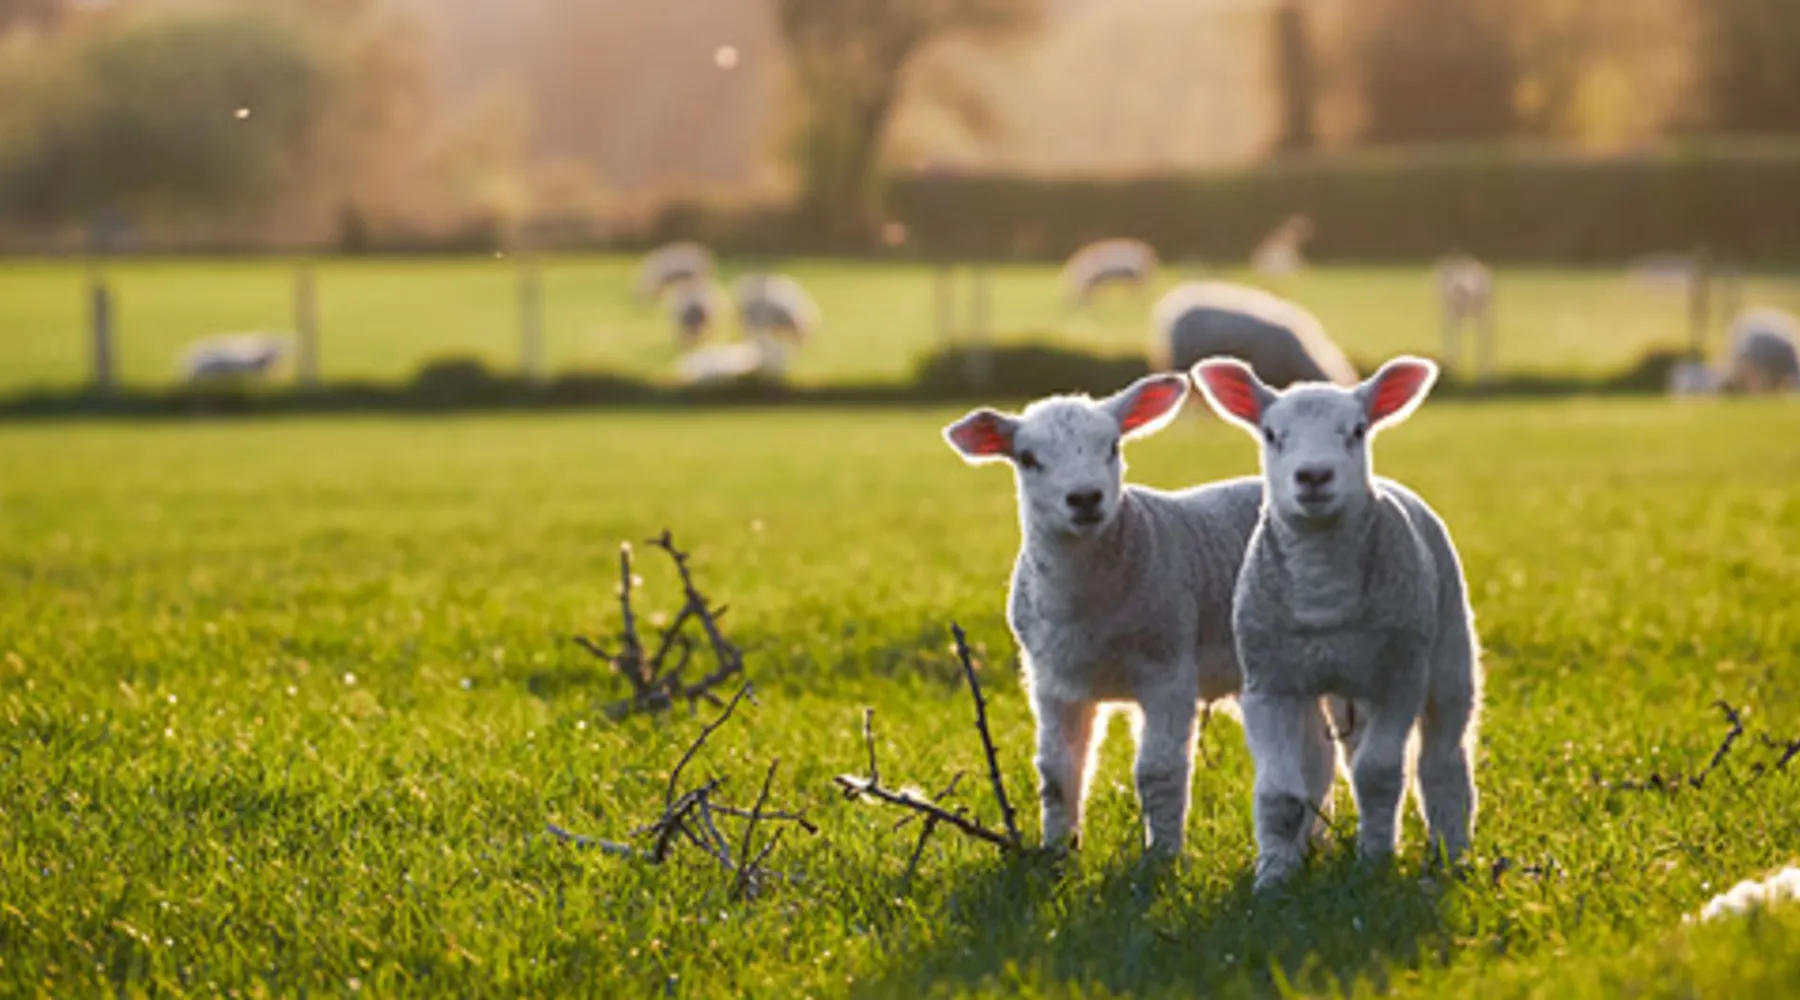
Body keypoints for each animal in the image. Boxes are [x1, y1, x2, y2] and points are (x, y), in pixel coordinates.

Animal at [943, 375, 1277, 858]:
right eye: (1027, 458)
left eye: (1113, 445)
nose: (1084, 498)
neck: (1088, 611)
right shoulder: (1052, 682)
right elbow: (1057, 774)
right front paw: (1057, 852)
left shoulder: (1168, 669)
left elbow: (1158, 773)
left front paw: (1161, 859)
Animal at [1191, 355, 1481, 889]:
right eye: (1271, 434)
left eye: (1357, 430)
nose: (1313, 476)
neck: (1323, 595)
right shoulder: (1269, 686)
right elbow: (1281, 794)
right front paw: (1273, 880)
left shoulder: (1399, 679)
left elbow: (1379, 776)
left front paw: (1373, 866)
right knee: (1326, 760)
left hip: (1448, 653)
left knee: (1443, 761)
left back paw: (1453, 854)